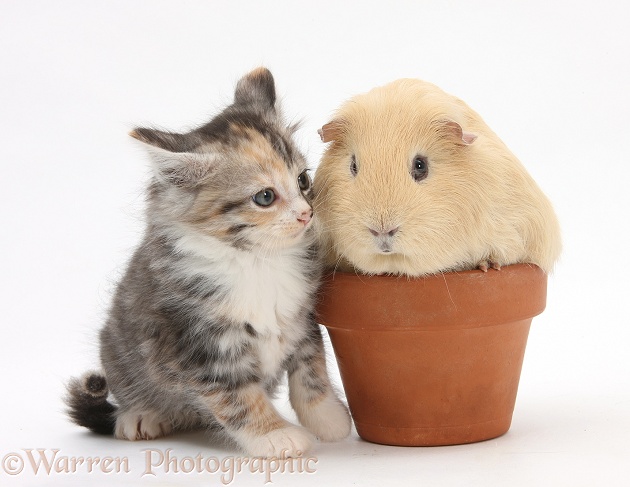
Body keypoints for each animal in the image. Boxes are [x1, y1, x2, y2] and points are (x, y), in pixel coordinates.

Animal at [66, 67, 354, 458]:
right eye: (265, 197)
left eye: (303, 179)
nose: (306, 214)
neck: (256, 261)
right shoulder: (199, 342)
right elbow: (239, 397)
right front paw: (275, 436)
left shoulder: (302, 319)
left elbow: (311, 372)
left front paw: (330, 420)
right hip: (116, 350)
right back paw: (140, 416)